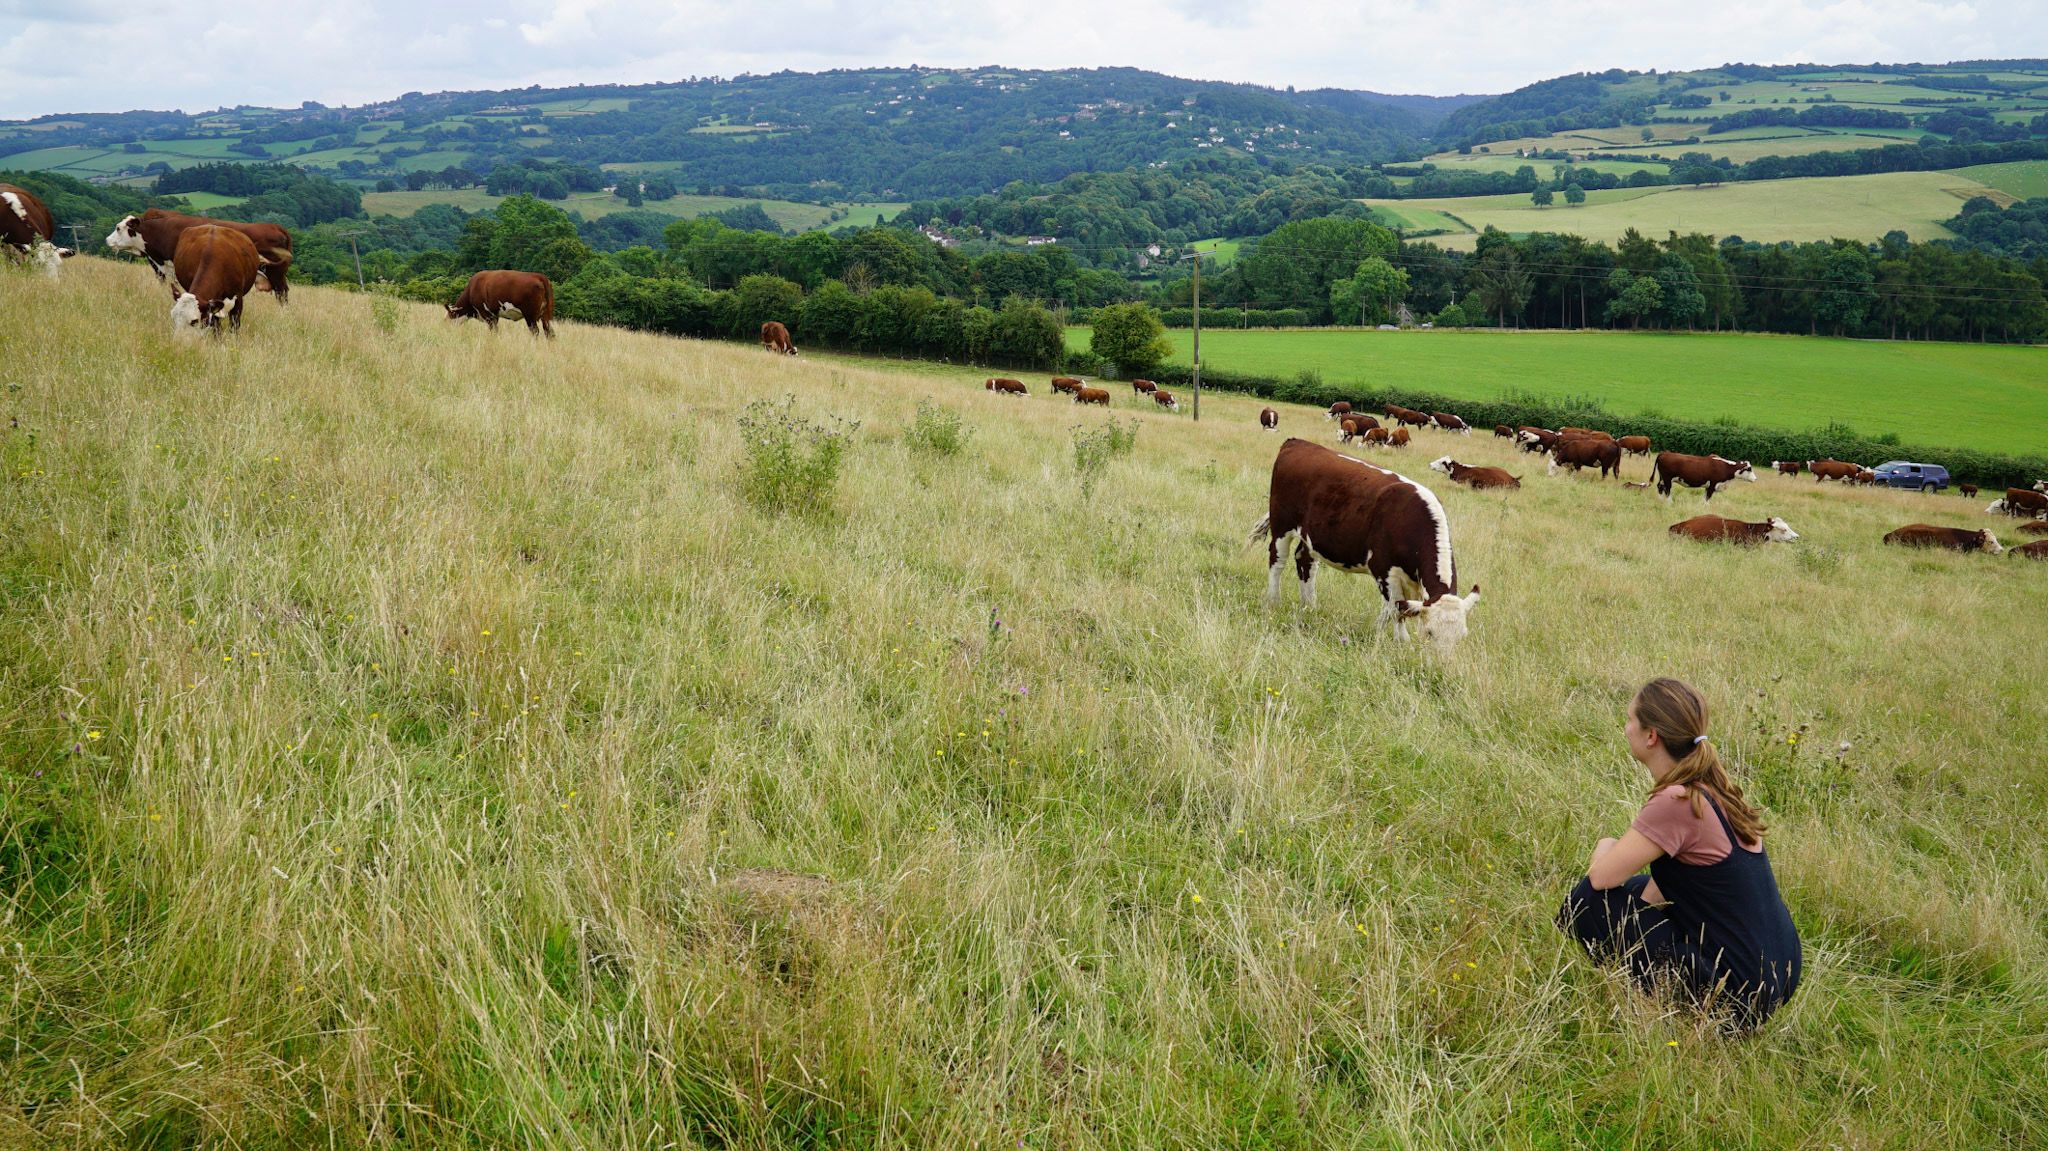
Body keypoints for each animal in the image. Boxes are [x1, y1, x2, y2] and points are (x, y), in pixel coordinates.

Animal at [1253, 436, 1482, 655]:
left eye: (1462, 635)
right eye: (1429, 632)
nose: (1441, 664)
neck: (1411, 519)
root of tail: (1297, 442)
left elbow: (1391, 611)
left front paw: (1378, 633)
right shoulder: (1383, 570)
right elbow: (1395, 611)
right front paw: (1402, 644)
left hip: (1309, 536)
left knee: (1305, 563)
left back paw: (1310, 606)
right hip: (1282, 524)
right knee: (1277, 561)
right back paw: (1273, 601)